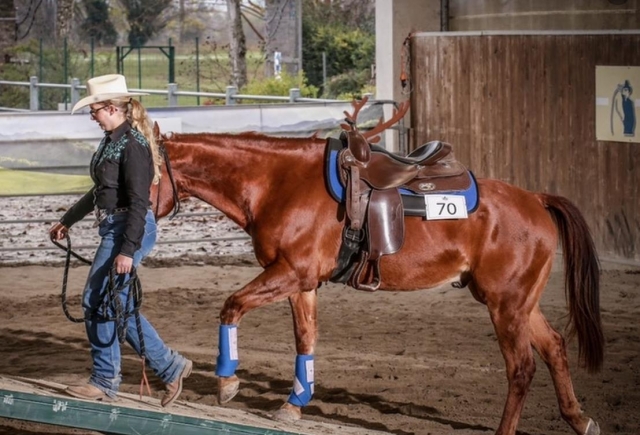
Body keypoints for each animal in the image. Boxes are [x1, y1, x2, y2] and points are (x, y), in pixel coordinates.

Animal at [149, 103, 603, 435]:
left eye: (140, 172)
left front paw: (227, 383)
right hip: (519, 302)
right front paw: (294, 405)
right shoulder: (302, 283)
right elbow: (305, 339)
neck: (277, 182)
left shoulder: (291, 272)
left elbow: (231, 305)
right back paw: (579, 418)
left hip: (505, 305)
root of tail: (535, 199)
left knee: (522, 367)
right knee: (554, 347)